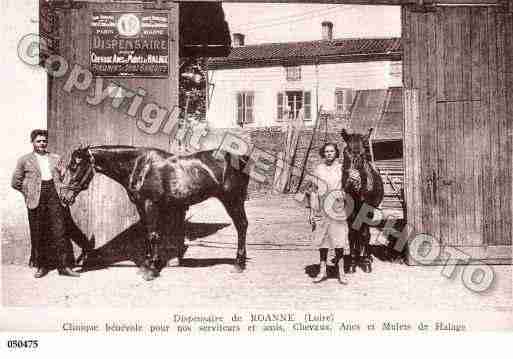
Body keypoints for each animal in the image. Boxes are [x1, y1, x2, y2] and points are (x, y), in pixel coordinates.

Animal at [60, 146, 250, 282]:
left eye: (75, 166)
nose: (64, 197)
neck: (139, 166)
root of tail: (242, 159)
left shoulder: (150, 204)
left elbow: (153, 235)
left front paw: (152, 270)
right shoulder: (141, 206)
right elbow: (147, 235)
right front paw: (147, 264)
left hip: (232, 200)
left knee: (241, 226)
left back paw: (239, 264)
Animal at [342, 129, 382, 272]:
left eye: (363, 154)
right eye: (345, 152)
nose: (352, 182)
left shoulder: (367, 210)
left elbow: (364, 234)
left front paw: (366, 262)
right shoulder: (350, 212)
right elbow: (352, 234)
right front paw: (352, 263)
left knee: (366, 233)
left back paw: (366, 256)